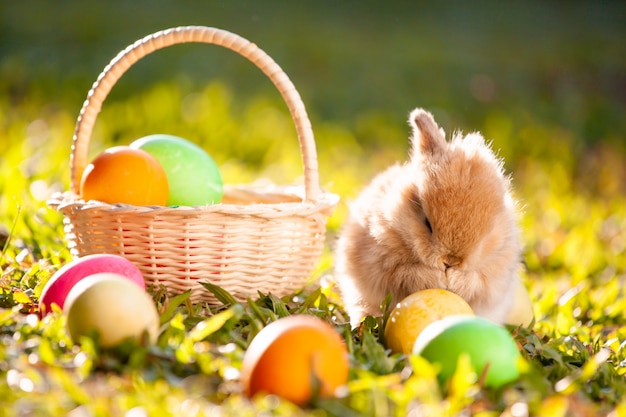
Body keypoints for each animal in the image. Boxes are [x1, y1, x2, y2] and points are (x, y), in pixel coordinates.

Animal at [334, 108, 520, 328]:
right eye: (427, 223)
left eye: (488, 233)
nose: (450, 262)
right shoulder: (383, 263)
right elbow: (407, 273)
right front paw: (437, 279)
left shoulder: (495, 277)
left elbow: (477, 282)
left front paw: (455, 281)